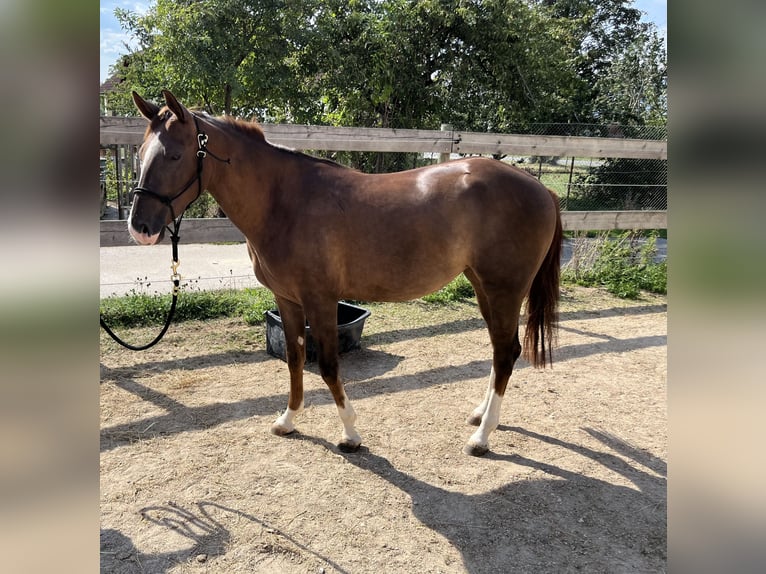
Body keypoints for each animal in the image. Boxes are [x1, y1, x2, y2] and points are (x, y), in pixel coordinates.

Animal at [129, 91, 564, 460]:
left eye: (175, 155)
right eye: (140, 153)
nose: (140, 228)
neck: (284, 202)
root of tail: (541, 189)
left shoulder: (321, 300)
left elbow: (328, 366)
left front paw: (350, 434)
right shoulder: (287, 300)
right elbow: (295, 360)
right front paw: (287, 421)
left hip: (504, 289)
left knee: (505, 352)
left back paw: (481, 437)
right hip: (483, 287)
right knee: (501, 350)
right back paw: (480, 415)